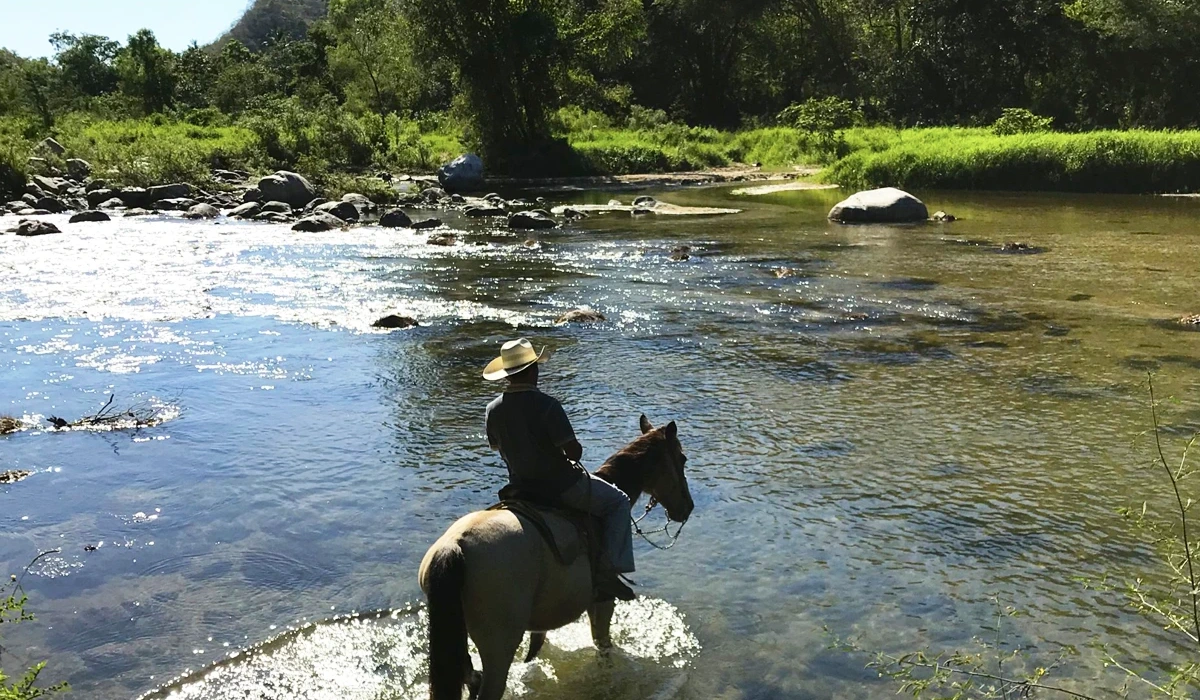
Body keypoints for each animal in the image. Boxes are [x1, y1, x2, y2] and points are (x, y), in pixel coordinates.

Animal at [424, 415, 696, 700]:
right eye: (682, 458)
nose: (687, 507)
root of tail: (455, 546)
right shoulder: (603, 600)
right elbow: (603, 644)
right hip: (498, 647)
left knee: (470, 677)